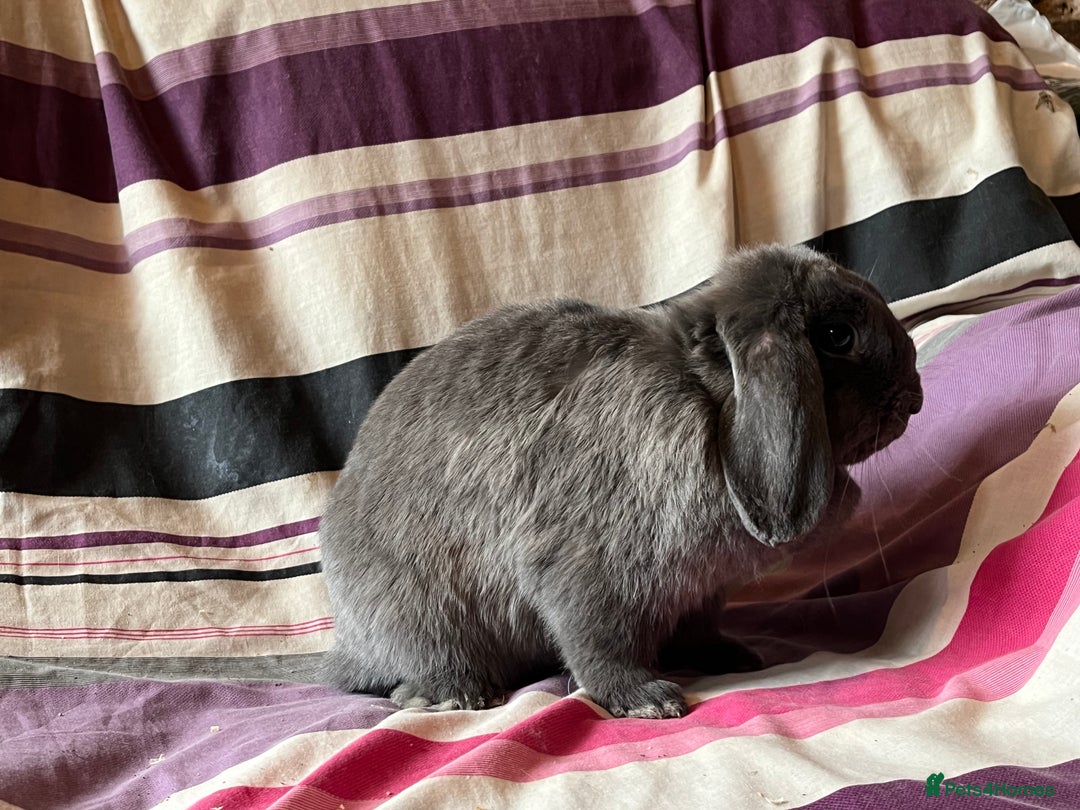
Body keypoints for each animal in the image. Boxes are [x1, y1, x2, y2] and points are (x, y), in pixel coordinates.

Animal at [318, 244, 923, 719]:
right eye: (837, 335)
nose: (914, 400)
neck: (704, 399)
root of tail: (347, 649)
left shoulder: (701, 591)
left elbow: (699, 628)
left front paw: (731, 657)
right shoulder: (587, 575)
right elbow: (599, 646)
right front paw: (649, 700)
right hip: (421, 615)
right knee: (418, 671)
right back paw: (456, 694)